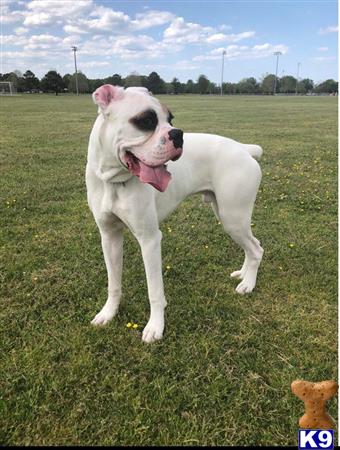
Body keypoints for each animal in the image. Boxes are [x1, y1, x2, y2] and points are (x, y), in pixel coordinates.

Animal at [86, 84, 264, 342]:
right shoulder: (109, 237)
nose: (178, 134)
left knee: (256, 249)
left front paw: (155, 326)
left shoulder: (150, 240)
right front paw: (108, 313)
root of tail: (243, 149)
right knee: (250, 248)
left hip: (234, 218)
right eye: (146, 121)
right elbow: (114, 283)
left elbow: (154, 291)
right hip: (228, 217)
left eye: (170, 120)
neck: (115, 182)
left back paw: (248, 284)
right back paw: (242, 274)